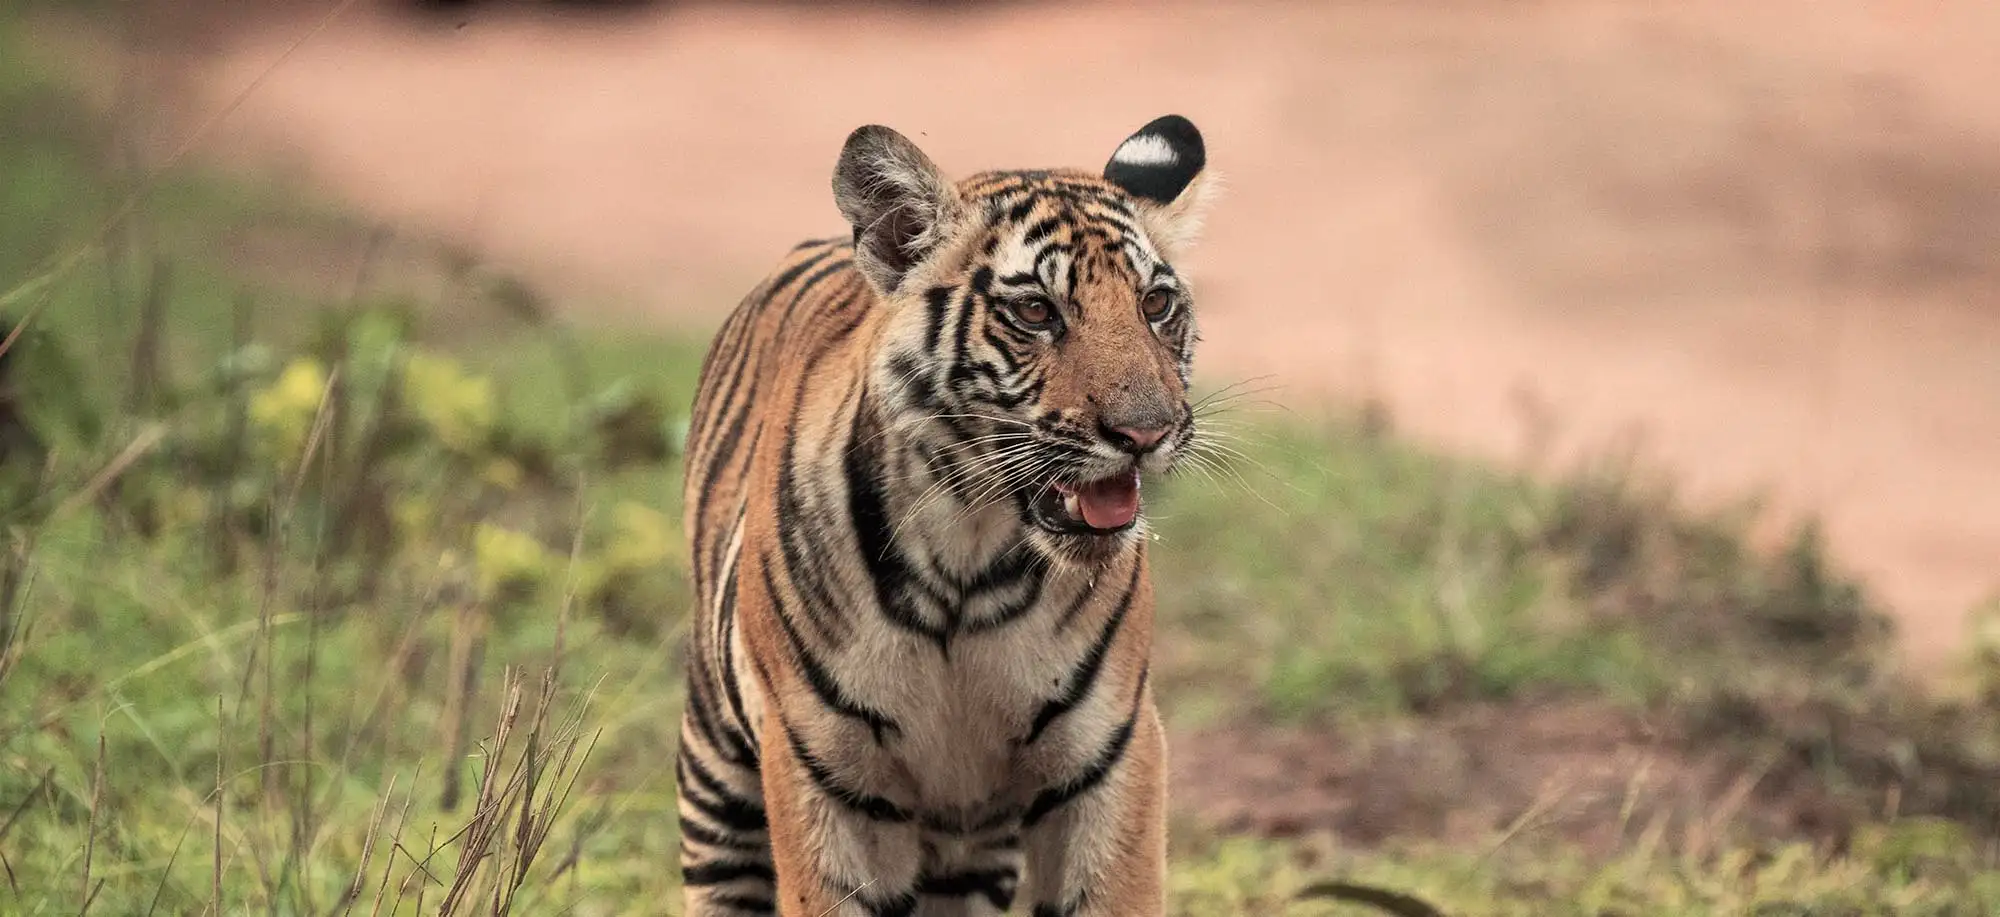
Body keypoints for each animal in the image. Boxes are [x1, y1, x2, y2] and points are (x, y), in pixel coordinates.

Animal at [674, 114, 1215, 917]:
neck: (970, 553)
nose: (1147, 432)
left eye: (1154, 305)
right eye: (1036, 311)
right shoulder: (825, 774)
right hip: (717, 776)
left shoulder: (1107, 754)